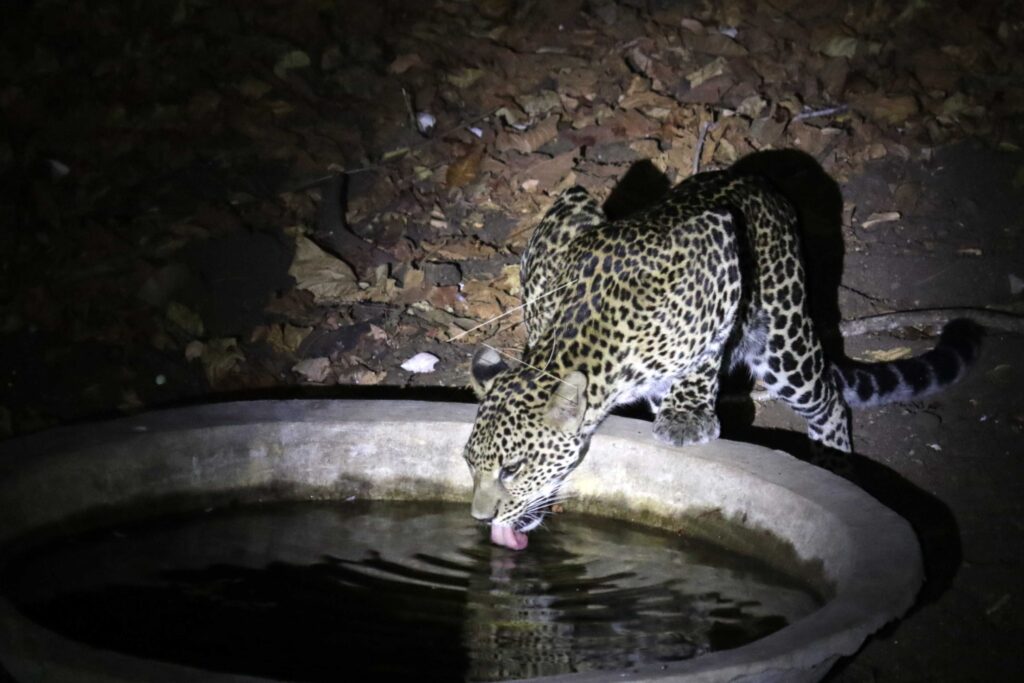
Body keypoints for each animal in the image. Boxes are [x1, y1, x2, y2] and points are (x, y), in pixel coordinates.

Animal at [463, 168, 983, 550]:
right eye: (470, 464)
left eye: (512, 469)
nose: (479, 517)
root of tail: (753, 178)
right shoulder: (568, 214)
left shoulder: (715, 243)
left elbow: (706, 350)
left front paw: (688, 412)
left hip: (784, 340)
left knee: (829, 401)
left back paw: (833, 464)